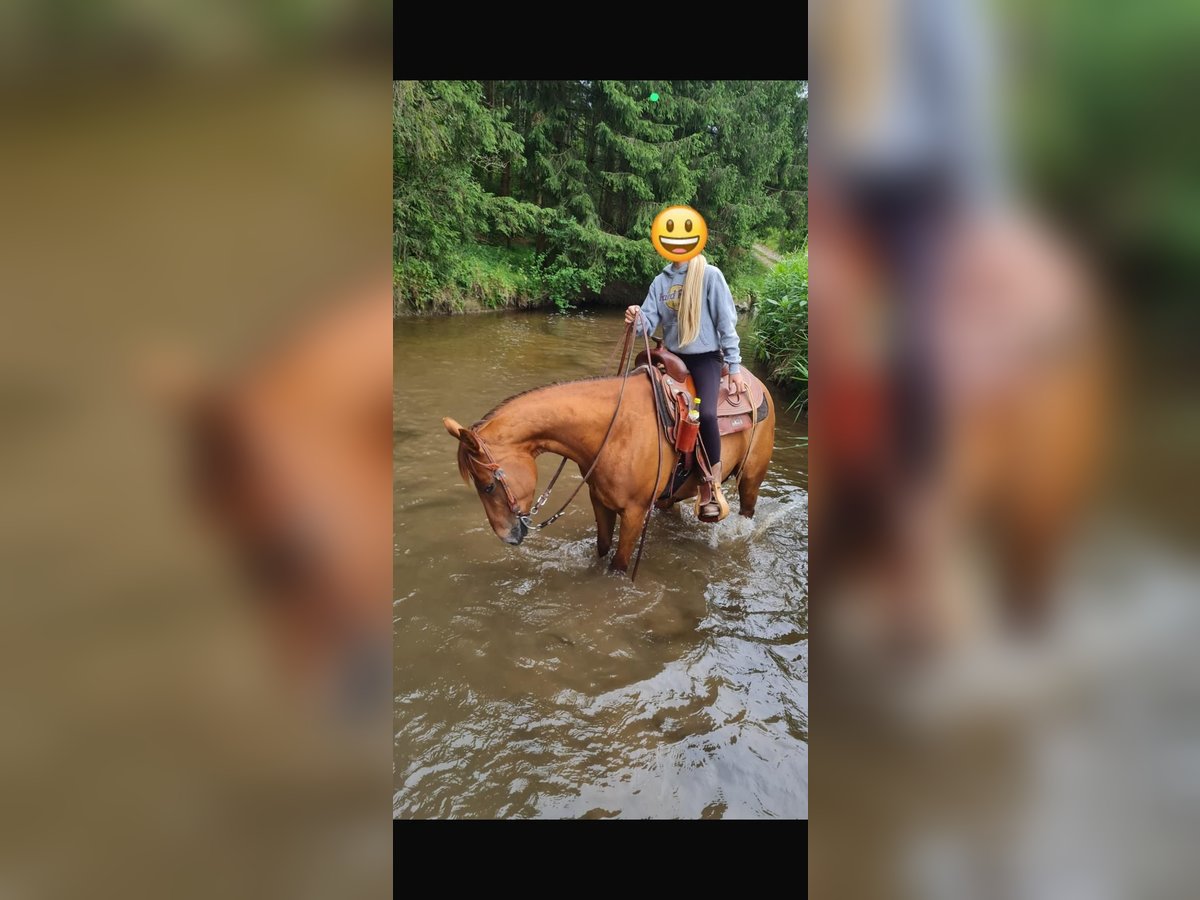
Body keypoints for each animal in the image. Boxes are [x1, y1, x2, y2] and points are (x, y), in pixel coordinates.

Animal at [442, 366, 776, 574]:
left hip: (751, 479)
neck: (613, 430)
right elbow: (602, 548)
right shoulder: (600, 501)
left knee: (747, 510)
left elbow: (618, 565)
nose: (507, 538)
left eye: (487, 485)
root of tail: (757, 383)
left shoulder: (634, 512)